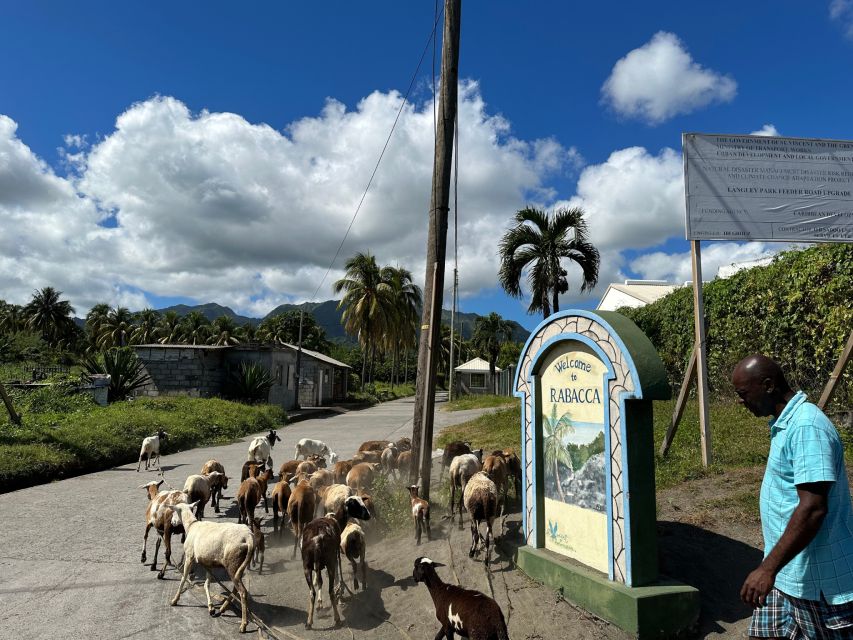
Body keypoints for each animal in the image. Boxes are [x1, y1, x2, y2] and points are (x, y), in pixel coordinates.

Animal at [302, 492, 372, 628]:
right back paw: (337, 618)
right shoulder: (335, 556)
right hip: (329, 562)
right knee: (330, 591)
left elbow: (319, 582)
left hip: (306, 567)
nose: (368, 515)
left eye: (363, 501)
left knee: (311, 592)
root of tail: (317, 539)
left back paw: (309, 622)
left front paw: (320, 604)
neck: (336, 520)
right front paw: (340, 589)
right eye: (355, 504)